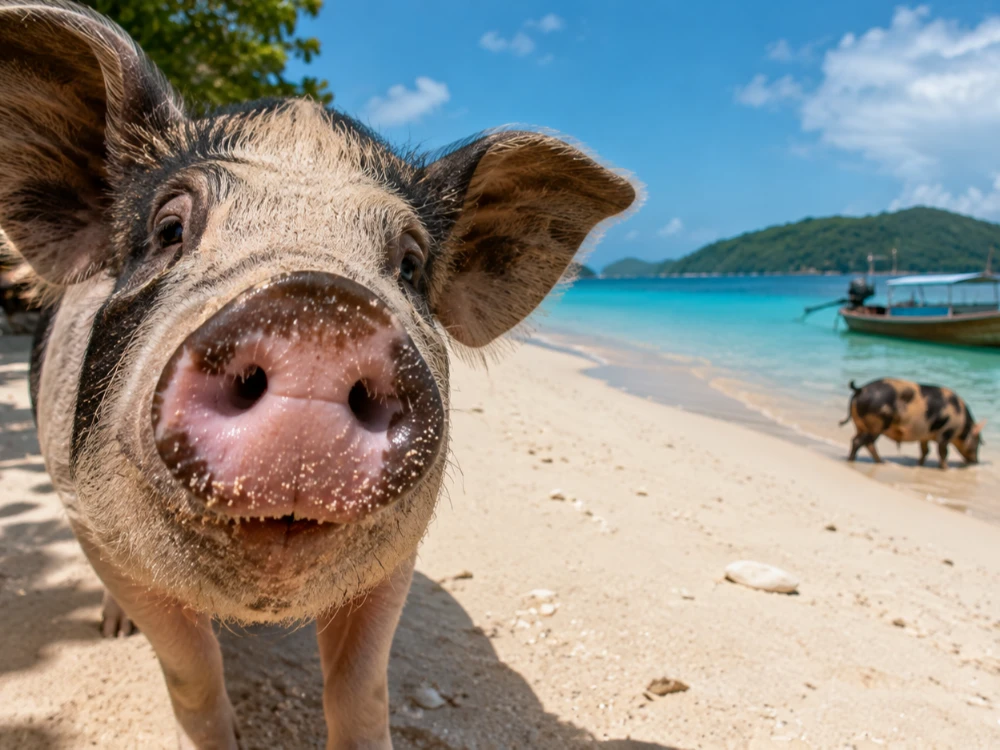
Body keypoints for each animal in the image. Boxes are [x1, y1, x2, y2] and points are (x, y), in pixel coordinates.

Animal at [0, 2, 637, 747]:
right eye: (168, 230)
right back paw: (111, 630)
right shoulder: (91, 523)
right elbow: (192, 672)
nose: (317, 308)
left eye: (411, 266)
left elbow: (360, 686)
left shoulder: (397, 555)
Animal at [841, 378, 986, 469]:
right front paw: (946, 469)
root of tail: (860, 390)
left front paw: (919, 464)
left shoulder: (925, 435)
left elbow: (925, 450)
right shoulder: (945, 433)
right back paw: (876, 462)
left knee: (860, 440)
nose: (976, 462)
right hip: (876, 424)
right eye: (978, 441)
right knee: (863, 442)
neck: (963, 423)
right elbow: (943, 452)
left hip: (860, 424)